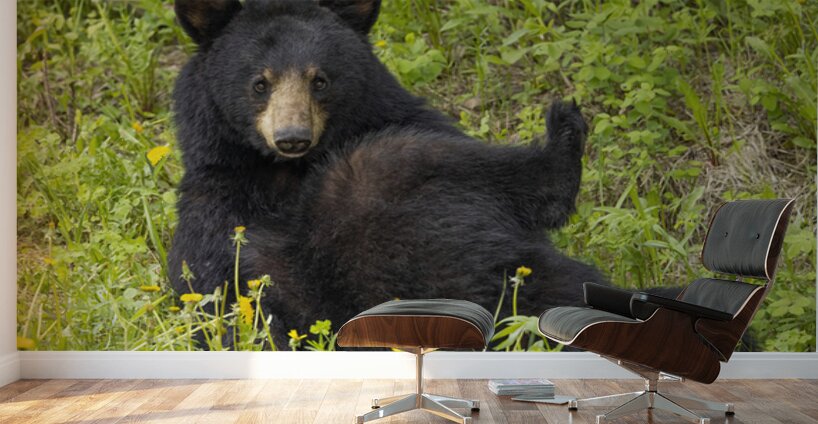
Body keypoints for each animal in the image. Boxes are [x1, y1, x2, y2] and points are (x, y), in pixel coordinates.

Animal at [168, 0, 606, 346]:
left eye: (319, 80)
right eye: (260, 83)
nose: (292, 137)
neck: (293, 171)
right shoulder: (217, 214)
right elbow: (221, 301)